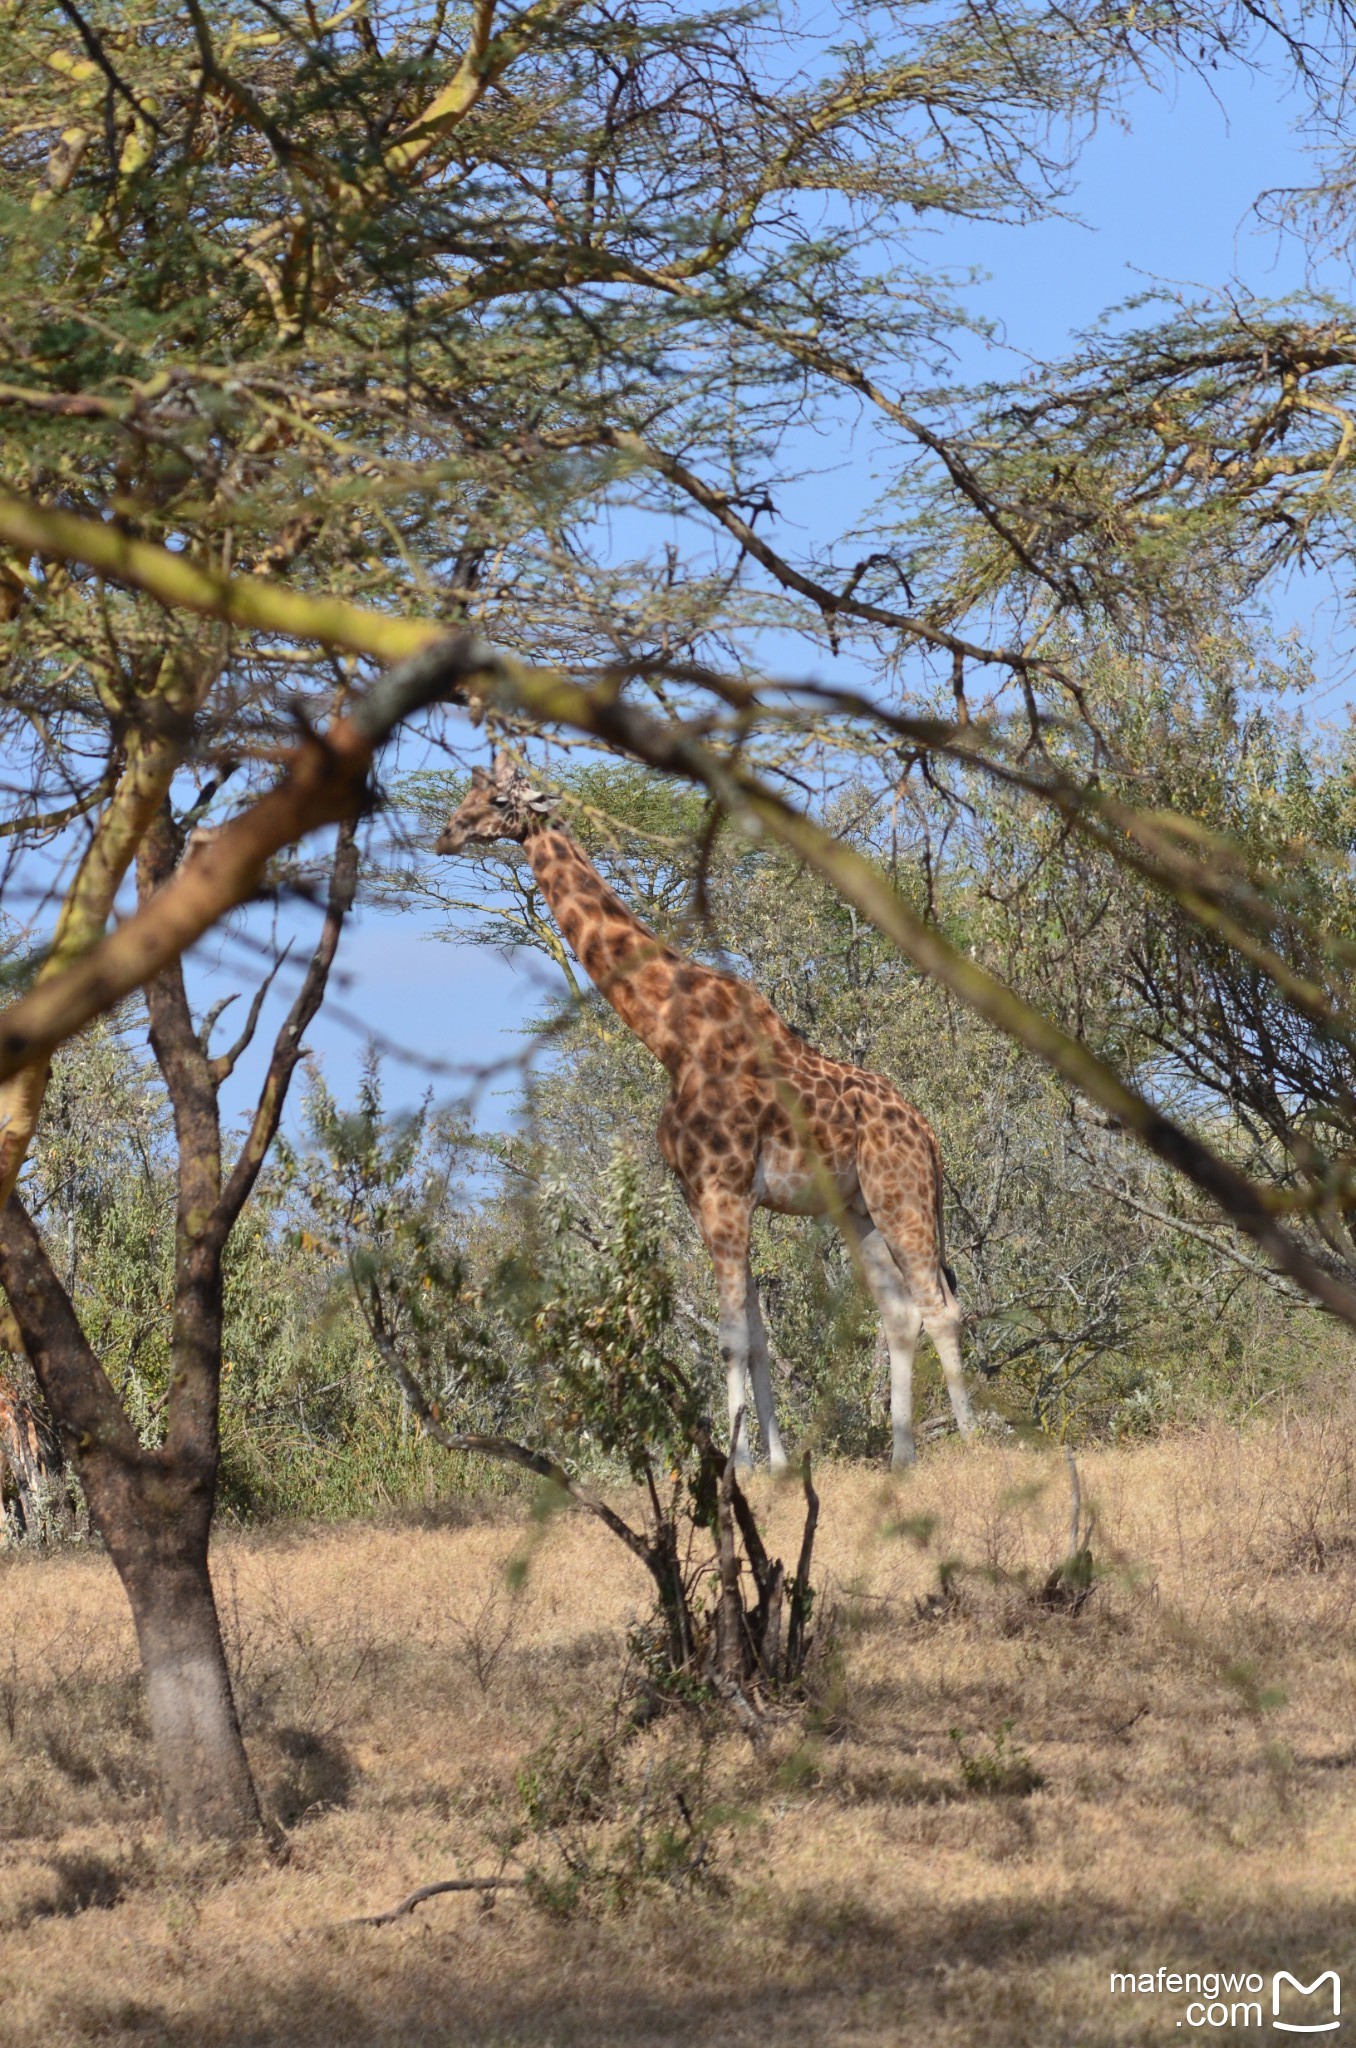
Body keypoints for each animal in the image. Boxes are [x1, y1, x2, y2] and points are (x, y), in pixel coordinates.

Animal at [440, 753, 983, 1474]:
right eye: (469, 792)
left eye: (499, 798)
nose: (446, 833)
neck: (669, 1035)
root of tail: (927, 1133)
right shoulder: (702, 1194)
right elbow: (755, 1335)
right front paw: (777, 1464)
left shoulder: (726, 1192)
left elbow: (730, 1336)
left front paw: (741, 1464)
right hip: (859, 1208)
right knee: (899, 1313)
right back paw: (901, 1459)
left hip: (902, 1194)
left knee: (941, 1305)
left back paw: (976, 1439)